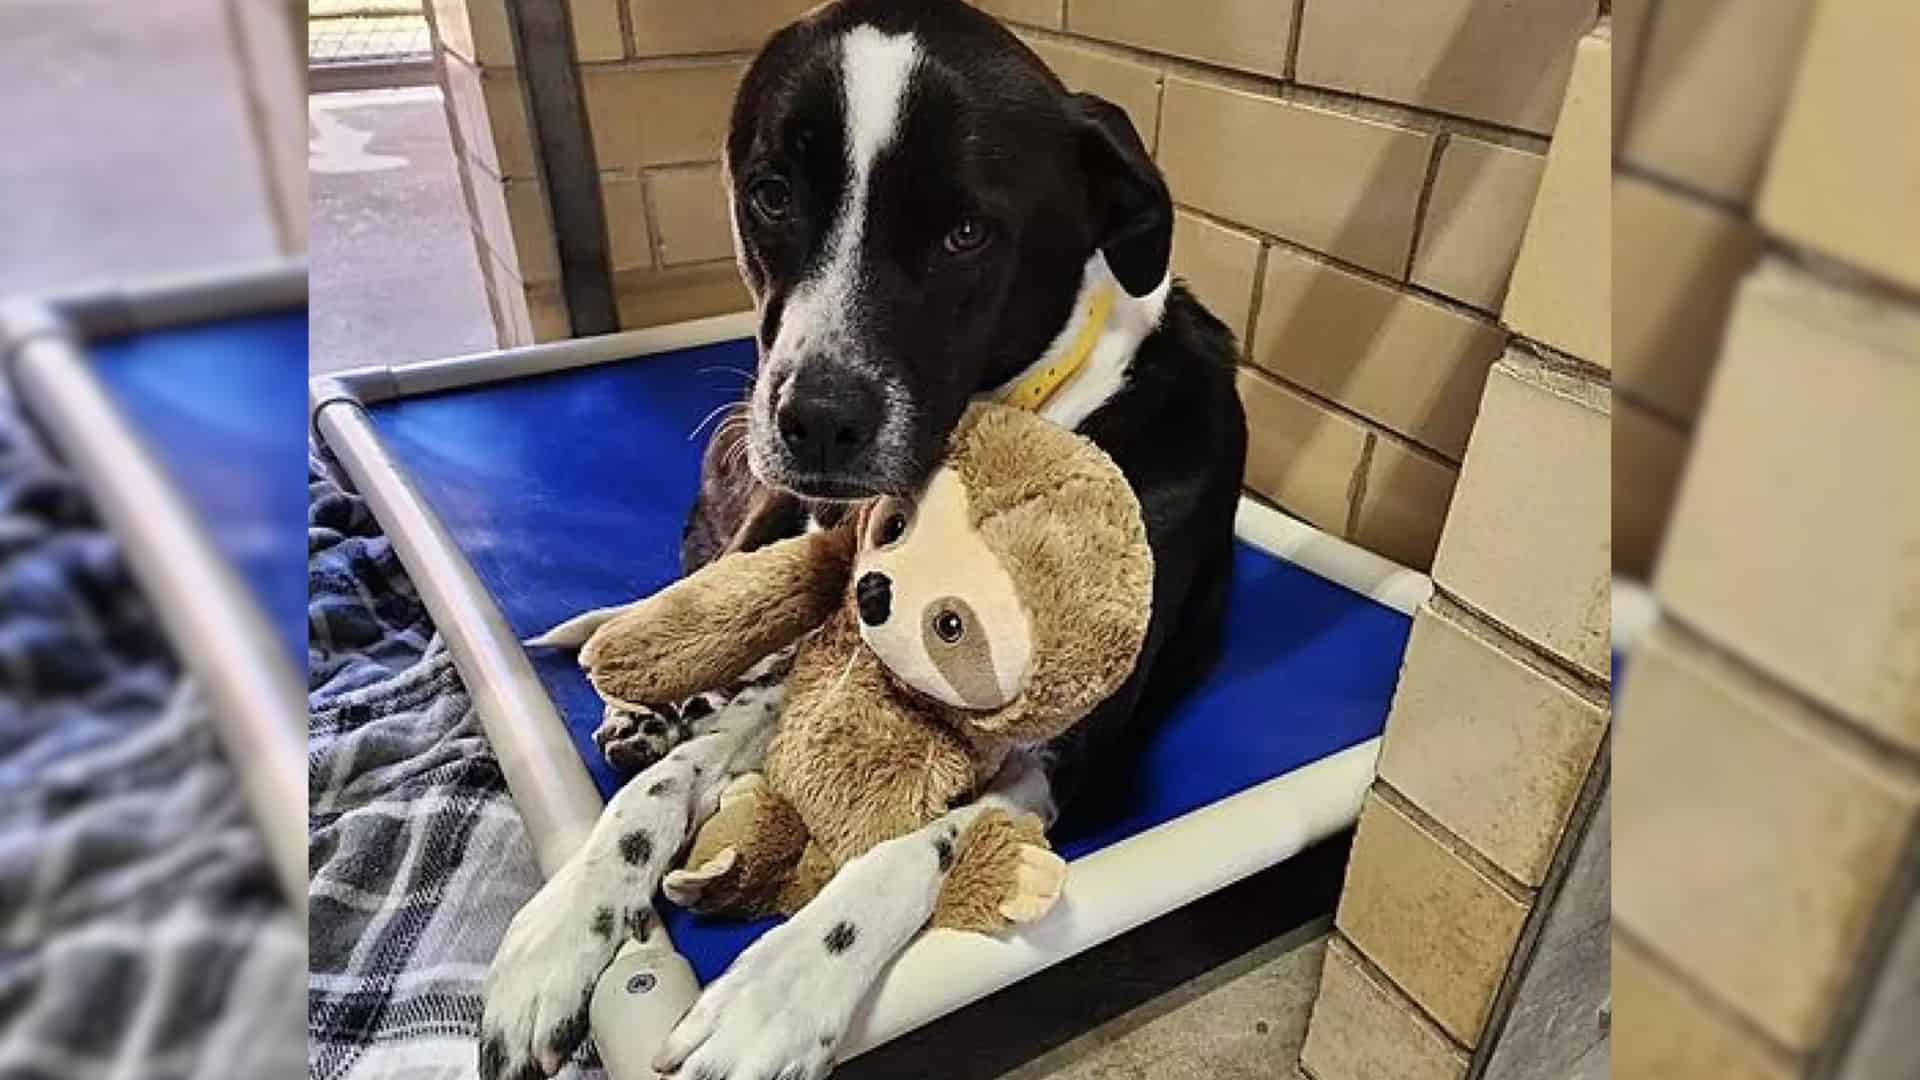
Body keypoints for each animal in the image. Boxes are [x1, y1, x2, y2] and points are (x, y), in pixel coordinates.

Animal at [483, 4, 1244, 1068]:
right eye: (770, 196)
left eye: (966, 233)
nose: (815, 421)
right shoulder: (806, 655)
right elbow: (662, 789)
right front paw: (563, 925)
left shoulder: (1064, 754)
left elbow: (914, 846)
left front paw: (777, 993)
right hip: (758, 521)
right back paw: (638, 710)